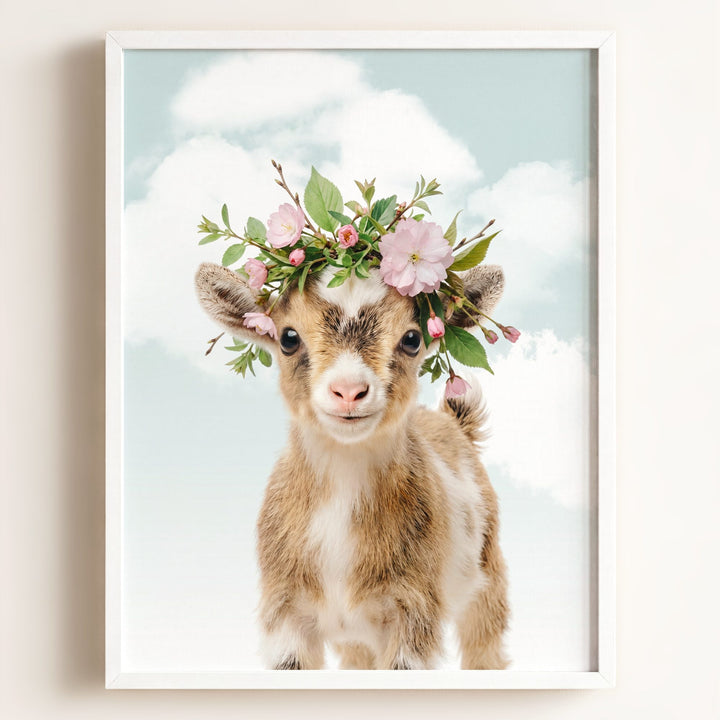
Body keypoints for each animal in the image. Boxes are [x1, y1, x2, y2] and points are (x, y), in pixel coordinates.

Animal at [195, 262, 509, 670]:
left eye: (412, 338)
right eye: (288, 338)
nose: (348, 391)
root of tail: (454, 424)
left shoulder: (413, 611)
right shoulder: (285, 614)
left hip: (488, 577)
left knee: (485, 644)